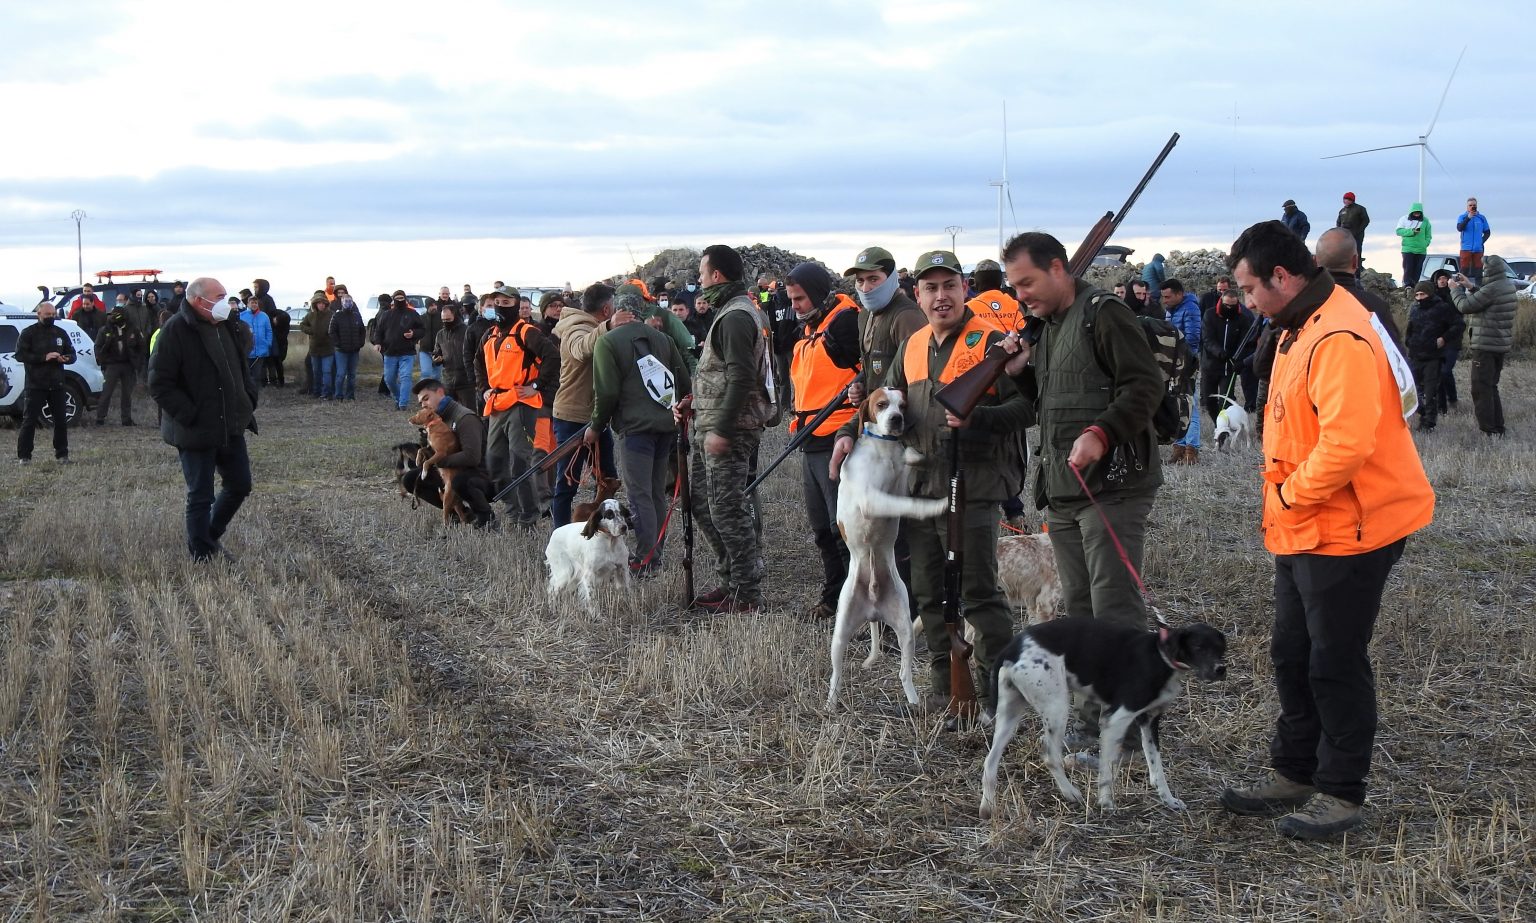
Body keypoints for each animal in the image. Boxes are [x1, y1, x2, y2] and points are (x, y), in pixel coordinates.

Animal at [829, 385, 946, 709]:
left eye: (902, 406)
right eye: (882, 404)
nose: (896, 420)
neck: (883, 448)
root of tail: (872, 609)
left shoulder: (900, 481)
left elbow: (910, 460)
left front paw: (917, 454)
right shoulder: (872, 499)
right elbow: (908, 503)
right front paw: (936, 506)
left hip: (905, 628)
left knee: (904, 673)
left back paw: (914, 701)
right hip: (840, 634)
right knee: (836, 675)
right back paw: (831, 702)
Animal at [976, 614, 1228, 817]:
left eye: (1220, 648)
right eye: (1198, 646)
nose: (1220, 670)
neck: (1160, 657)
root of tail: (1012, 647)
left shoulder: (1149, 721)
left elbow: (1157, 769)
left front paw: (1169, 800)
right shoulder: (1115, 720)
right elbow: (1108, 769)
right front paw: (1106, 803)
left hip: (1010, 715)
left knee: (990, 761)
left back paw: (988, 808)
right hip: (1057, 707)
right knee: (1050, 756)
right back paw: (1070, 793)